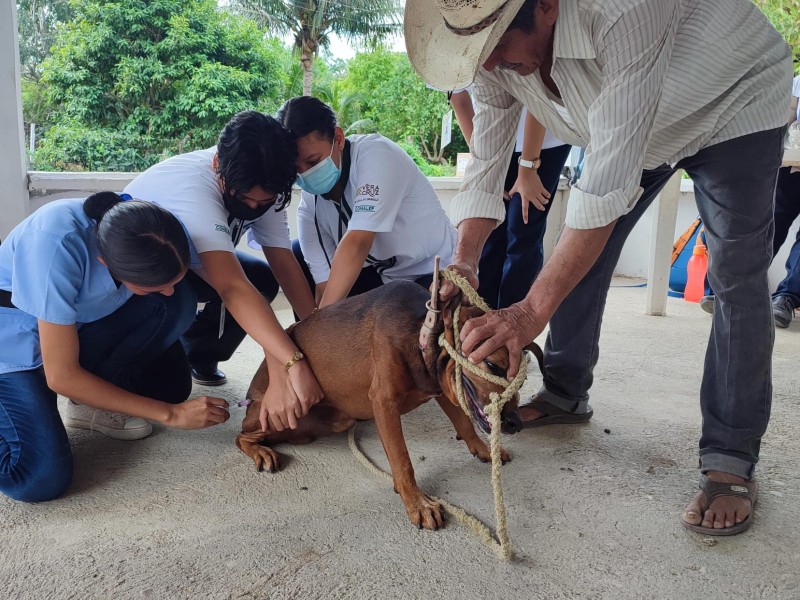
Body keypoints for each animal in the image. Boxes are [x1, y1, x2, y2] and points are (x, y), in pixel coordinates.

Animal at [234, 280, 528, 528]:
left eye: (522, 381)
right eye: (492, 365)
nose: (516, 424)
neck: (422, 333)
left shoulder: (442, 390)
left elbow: (465, 423)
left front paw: (484, 449)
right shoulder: (384, 402)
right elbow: (402, 461)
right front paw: (417, 502)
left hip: (334, 420)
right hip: (280, 412)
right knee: (241, 436)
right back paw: (261, 452)